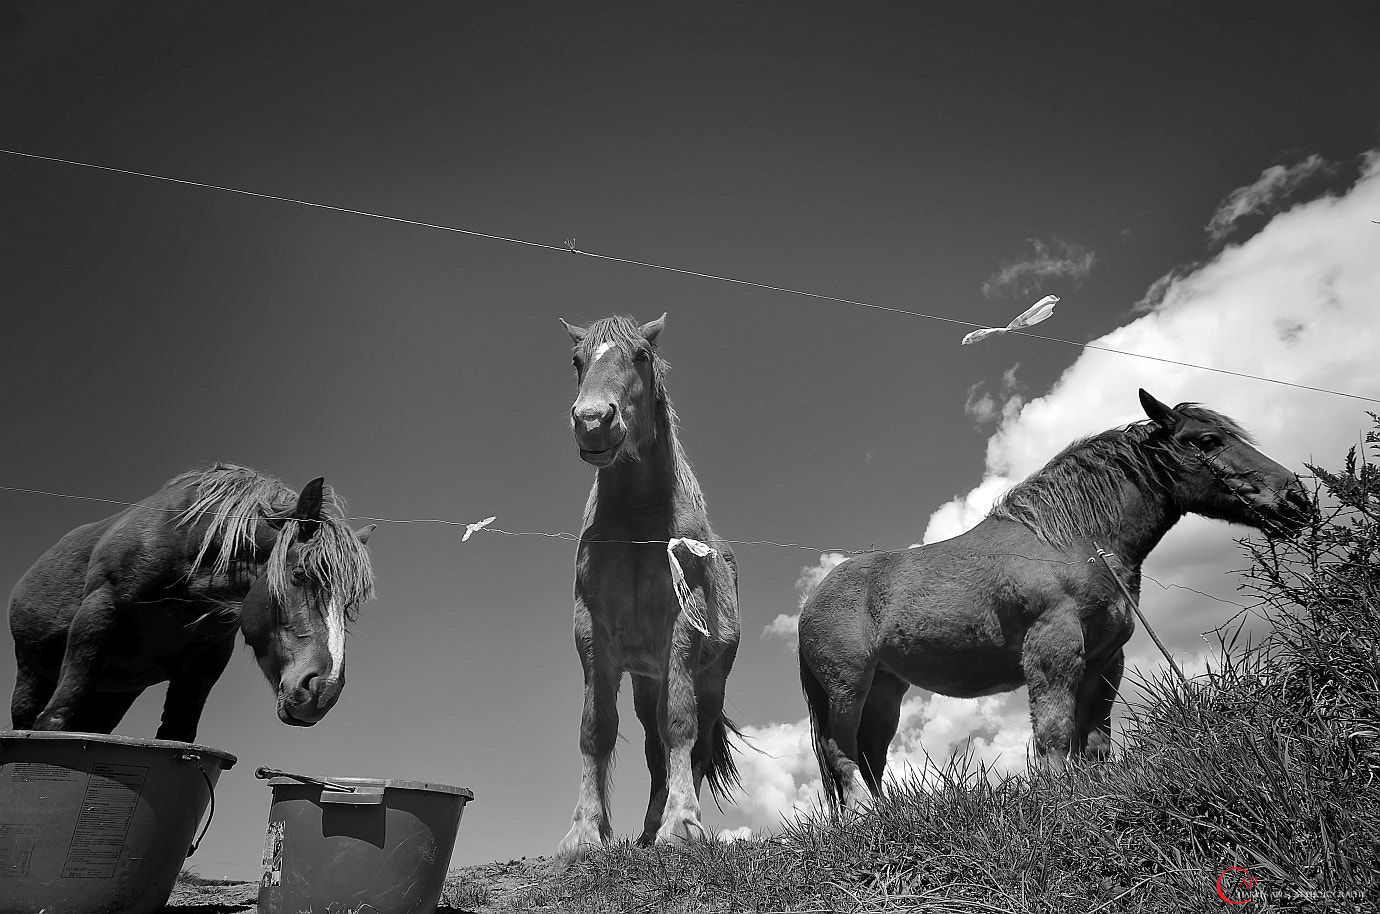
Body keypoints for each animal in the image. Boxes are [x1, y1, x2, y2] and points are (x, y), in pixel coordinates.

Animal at [8, 466, 375, 745]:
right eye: (299, 574)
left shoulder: (206, 658)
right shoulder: (96, 618)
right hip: (32, 673)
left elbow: (177, 733)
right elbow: (55, 721)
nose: (324, 691)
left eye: (350, 603)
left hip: (114, 692)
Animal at [554, 313, 745, 867]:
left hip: (710, 678)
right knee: (652, 746)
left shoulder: (681, 625)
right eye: (577, 360)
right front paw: (585, 832)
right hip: (645, 678)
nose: (593, 421)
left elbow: (678, 723)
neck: (638, 521)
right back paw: (647, 826)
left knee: (694, 741)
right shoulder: (593, 634)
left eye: (640, 355)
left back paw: (675, 819)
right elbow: (597, 728)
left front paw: (681, 825)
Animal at [800, 389, 1302, 811]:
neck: (1075, 541)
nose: (1296, 497)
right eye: (1208, 439)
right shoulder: (1052, 647)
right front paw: (1059, 796)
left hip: (885, 692)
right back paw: (866, 817)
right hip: (847, 688)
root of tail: (810, 604)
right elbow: (1054, 732)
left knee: (869, 756)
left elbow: (1093, 739)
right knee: (841, 752)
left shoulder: (1105, 661)